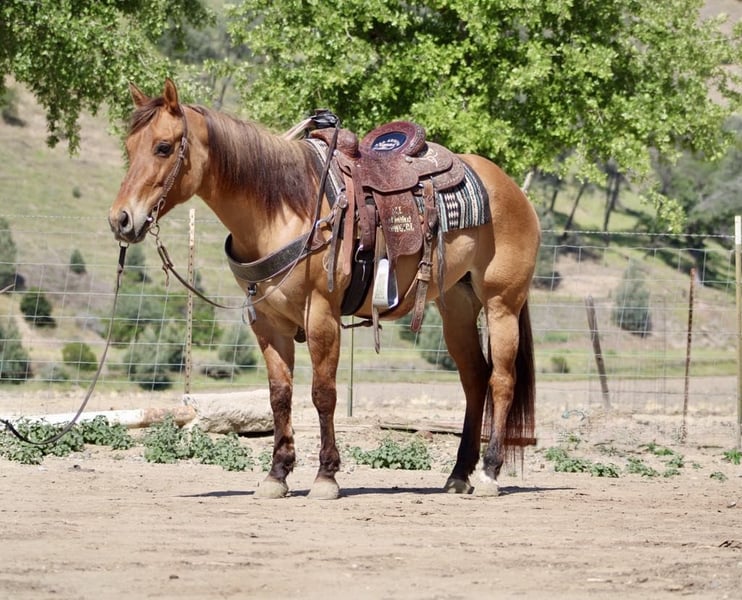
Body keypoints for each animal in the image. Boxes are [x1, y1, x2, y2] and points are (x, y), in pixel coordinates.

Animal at [108, 79, 540, 499]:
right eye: (129, 147)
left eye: (163, 147)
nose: (121, 220)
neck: (284, 208)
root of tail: (510, 188)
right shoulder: (268, 323)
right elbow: (279, 395)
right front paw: (277, 475)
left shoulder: (321, 313)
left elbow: (323, 392)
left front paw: (326, 476)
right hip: (458, 307)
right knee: (475, 379)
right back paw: (458, 475)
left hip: (501, 303)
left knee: (501, 380)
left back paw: (489, 473)